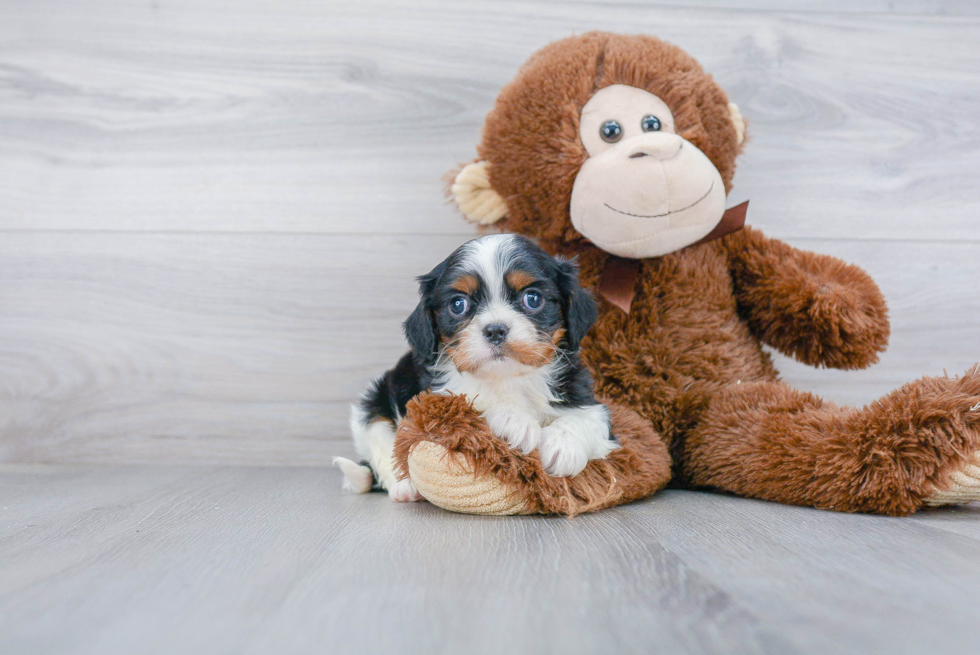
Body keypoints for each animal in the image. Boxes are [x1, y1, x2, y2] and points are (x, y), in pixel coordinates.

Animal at [334, 236, 616, 502]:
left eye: (533, 298)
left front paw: (562, 445)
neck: (507, 377)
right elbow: (471, 405)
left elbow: (588, 418)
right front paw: (514, 420)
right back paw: (406, 488)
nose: (495, 330)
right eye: (458, 304)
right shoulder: (435, 402)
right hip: (372, 405)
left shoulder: (588, 401)